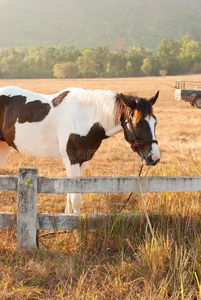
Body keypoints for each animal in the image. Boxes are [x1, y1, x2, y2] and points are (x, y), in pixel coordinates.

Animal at [0, 86, 161, 213]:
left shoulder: (83, 161)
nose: (154, 157)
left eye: (155, 122)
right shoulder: (72, 161)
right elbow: (76, 200)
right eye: (138, 123)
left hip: (4, 148)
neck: (85, 118)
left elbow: (70, 196)